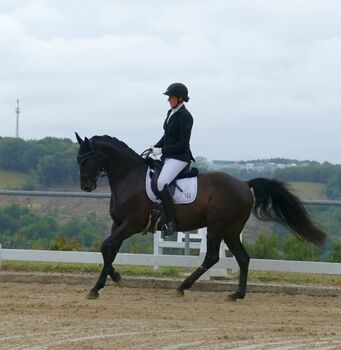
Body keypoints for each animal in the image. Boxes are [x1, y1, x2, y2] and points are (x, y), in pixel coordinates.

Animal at [75, 134, 326, 300]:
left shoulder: (131, 224)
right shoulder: (118, 224)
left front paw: (109, 282)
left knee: (213, 257)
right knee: (243, 258)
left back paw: (183, 287)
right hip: (230, 231)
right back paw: (237, 294)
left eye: (85, 159)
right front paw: (102, 284)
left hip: (217, 227)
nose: (86, 186)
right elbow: (109, 251)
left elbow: (105, 247)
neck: (130, 177)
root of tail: (244, 184)